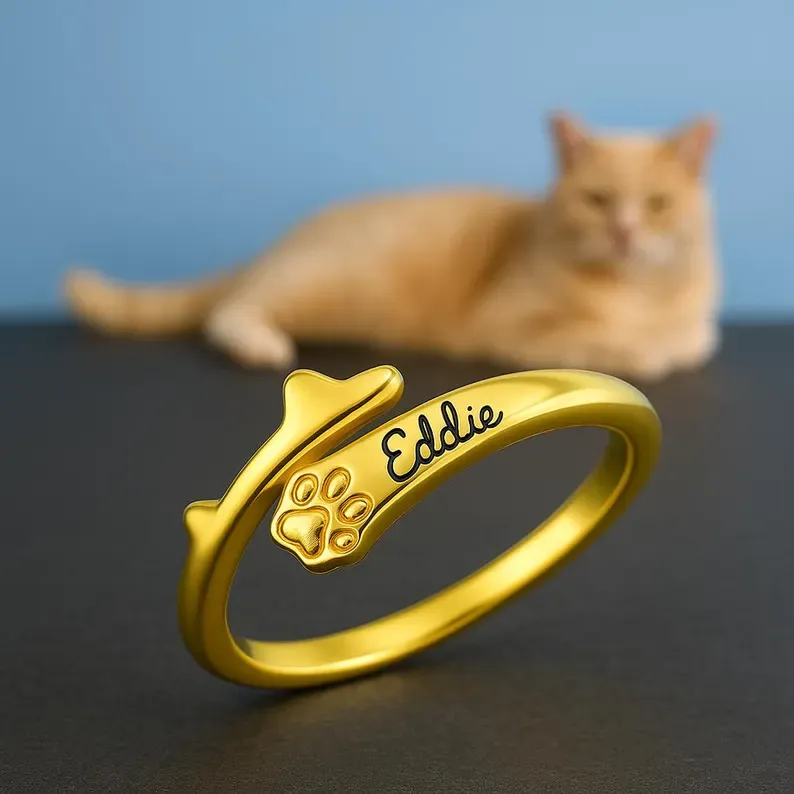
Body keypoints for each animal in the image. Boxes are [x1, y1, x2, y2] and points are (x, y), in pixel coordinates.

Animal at [63, 112, 720, 381]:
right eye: (597, 200)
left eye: (657, 204)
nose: (624, 232)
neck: (634, 291)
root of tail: (281, 241)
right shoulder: (514, 321)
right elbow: (601, 340)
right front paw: (639, 349)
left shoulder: (697, 326)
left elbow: (691, 342)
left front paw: (666, 343)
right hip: (335, 287)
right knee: (229, 309)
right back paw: (259, 344)